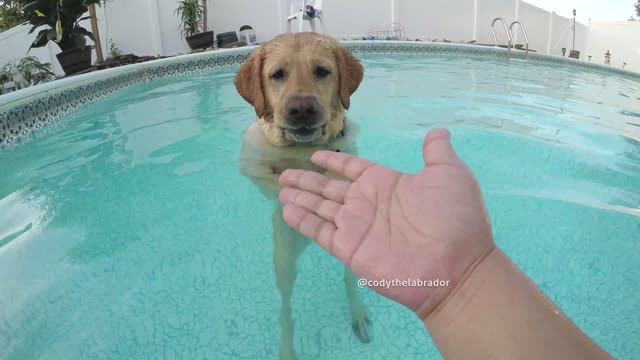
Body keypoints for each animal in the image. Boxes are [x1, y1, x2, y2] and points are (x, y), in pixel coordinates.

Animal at [234, 32, 370, 358]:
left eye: (322, 71)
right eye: (277, 74)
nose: (302, 108)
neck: (303, 149)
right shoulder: (253, 164)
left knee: (349, 276)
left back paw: (357, 312)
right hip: (284, 259)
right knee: (285, 309)